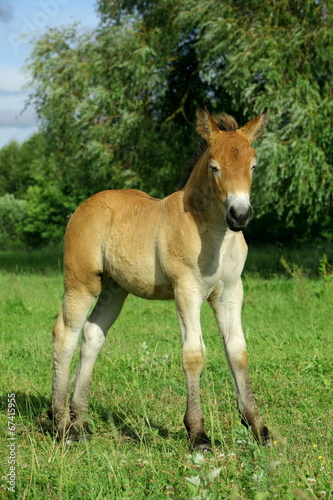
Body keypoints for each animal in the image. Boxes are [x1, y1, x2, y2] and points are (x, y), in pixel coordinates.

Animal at [51, 107, 270, 452]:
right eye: (215, 167)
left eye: (253, 166)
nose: (240, 215)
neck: (215, 234)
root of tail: (81, 208)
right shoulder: (187, 291)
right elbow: (193, 354)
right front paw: (198, 434)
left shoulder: (230, 293)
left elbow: (237, 351)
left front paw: (258, 428)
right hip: (81, 283)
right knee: (65, 335)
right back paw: (62, 426)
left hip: (114, 289)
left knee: (92, 335)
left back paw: (82, 423)